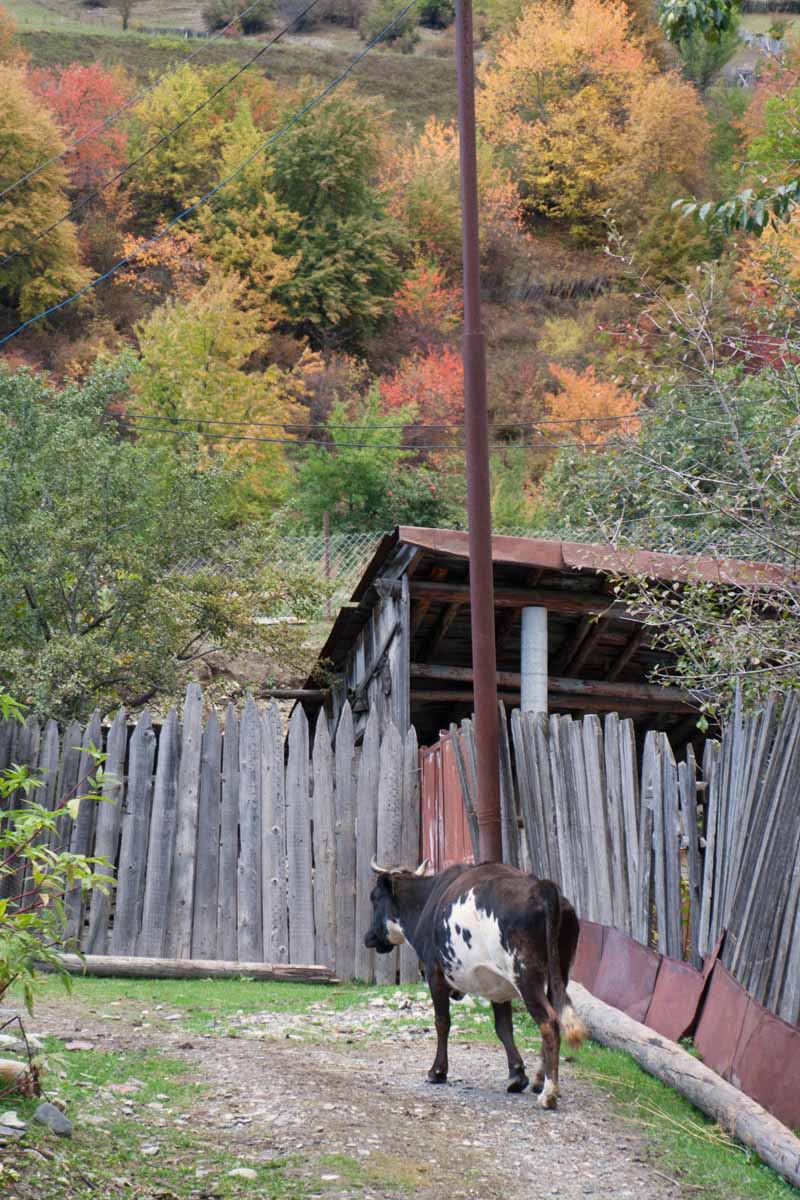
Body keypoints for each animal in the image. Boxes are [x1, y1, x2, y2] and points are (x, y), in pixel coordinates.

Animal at [364, 859, 586, 1109]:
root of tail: (541, 887)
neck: (427, 901)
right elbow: (503, 1028)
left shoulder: (434, 972)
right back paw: (539, 1079)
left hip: (525, 975)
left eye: (374, 897)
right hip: (560, 970)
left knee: (549, 1021)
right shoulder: (498, 985)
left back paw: (549, 1093)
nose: (368, 937)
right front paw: (517, 1075)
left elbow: (442, 1022)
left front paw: (437, 1072)